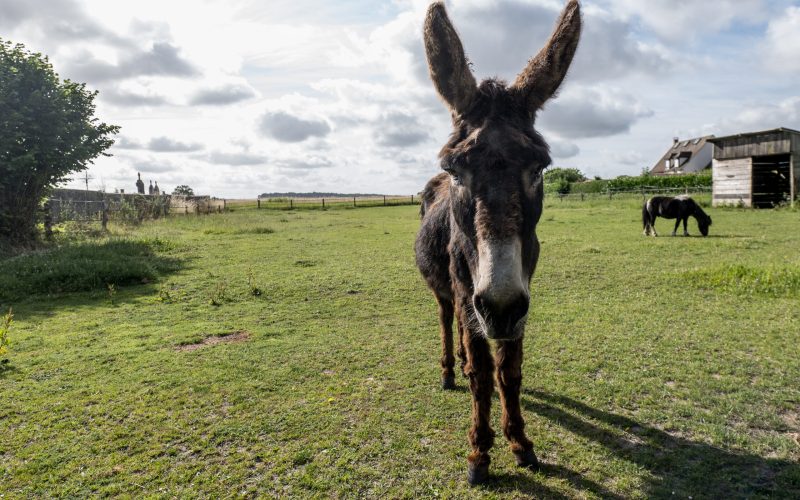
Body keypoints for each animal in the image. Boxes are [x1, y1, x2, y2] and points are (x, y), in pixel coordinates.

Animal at [412, 0, 580, 484]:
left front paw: (520, 442)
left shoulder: (519, 295)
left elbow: (510, 371)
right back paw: (451, 370)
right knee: (448, 320)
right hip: (447, 291)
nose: (500, 308)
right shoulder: (476, 293)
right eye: (454, 170)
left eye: (539, 168)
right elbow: (485, 376)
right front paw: (479, 453)